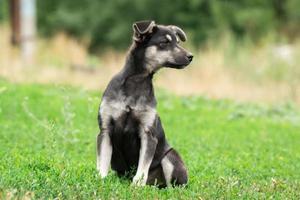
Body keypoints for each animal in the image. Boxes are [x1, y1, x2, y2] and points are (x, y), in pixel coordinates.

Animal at [97, 19, 193, 187]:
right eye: (164, 43)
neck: (137, 80)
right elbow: (103, 159)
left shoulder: (148, 134)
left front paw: (137, 184)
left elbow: (143, 165)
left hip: (171, 157)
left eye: (178, 42)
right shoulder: (105, 129)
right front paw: (101, 179)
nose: (191, 56)